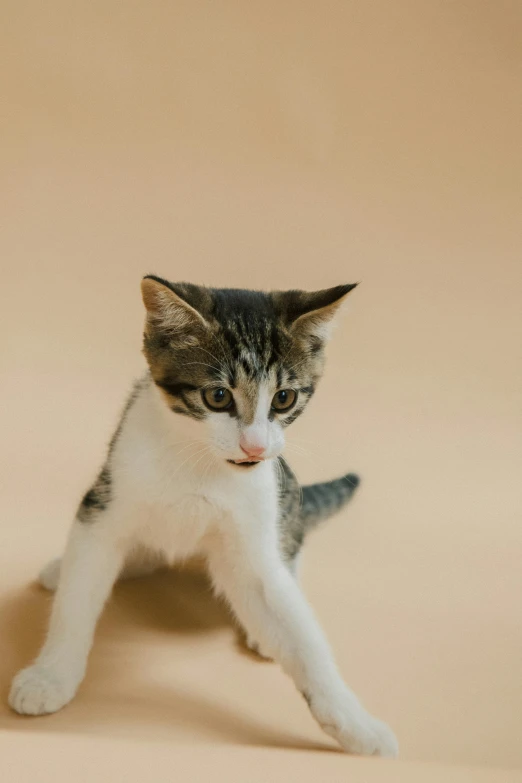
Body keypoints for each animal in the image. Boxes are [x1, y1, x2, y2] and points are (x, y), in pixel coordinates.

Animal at [8, 278, 396, 760]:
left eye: (284, 398)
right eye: (218, 396)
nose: (254, 446)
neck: (200, 461)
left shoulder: (256, 517)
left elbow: (301, 635)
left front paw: (357, 724)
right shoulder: (104, 503)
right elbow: (78, 597)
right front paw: (51, 675)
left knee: (290, 541)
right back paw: (66, 567)